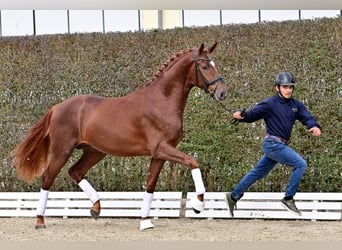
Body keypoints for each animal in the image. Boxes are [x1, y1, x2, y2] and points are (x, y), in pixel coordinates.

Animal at [12, 42, 228, 229]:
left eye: (215, 64)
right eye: (204, 66)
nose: (222, 93)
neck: (162, 100)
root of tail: (57, 107)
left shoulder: (159, 154)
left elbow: (150, 184)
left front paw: (145, 222)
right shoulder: (162, 148)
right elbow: (193, 162)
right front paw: (198, 205)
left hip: (95, 152)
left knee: (76, 172)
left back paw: (96, 208)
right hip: (62, 151)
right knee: (48, 178)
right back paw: (40, 221)